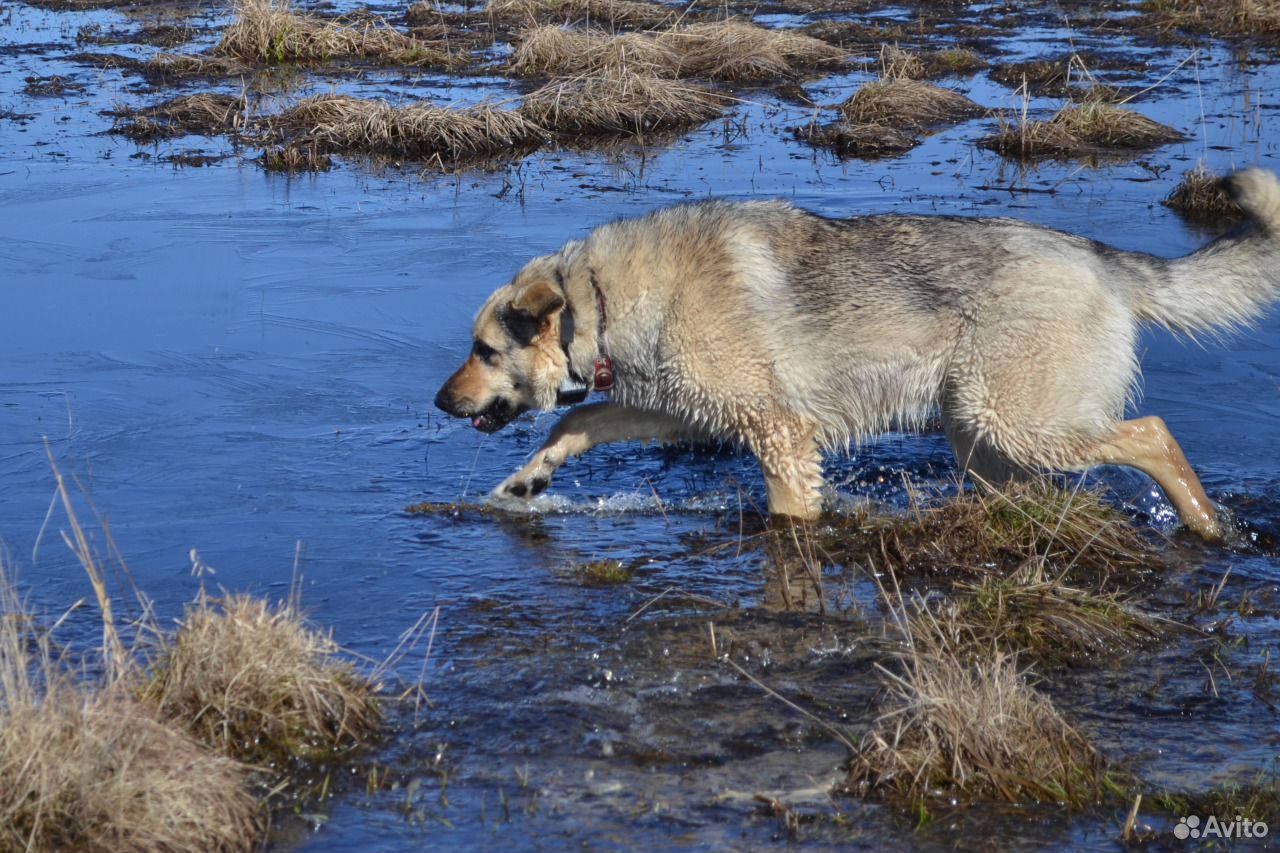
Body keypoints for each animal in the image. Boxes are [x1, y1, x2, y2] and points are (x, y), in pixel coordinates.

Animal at [432, 167, 1280, 537]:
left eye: (482, 350)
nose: (440, 402)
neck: (602, 300)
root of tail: (1102, 260)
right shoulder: (681, 412)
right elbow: (571, 423)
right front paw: (527, 481)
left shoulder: (778, 432)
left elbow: (790, 510)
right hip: (984, 440)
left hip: (1020, 420)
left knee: (1154, 434)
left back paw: (1206, 526)